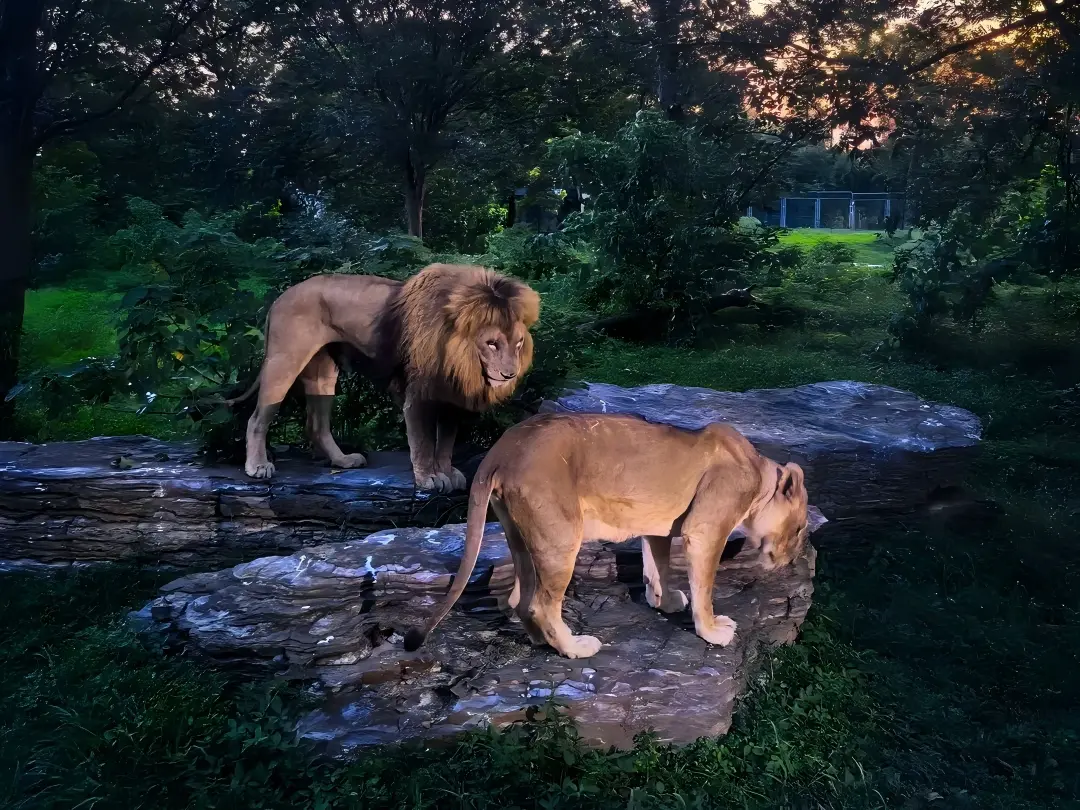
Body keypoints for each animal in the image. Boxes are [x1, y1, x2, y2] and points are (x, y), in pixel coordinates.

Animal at [230, 263, 540, 492]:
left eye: (519, 343)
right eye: (492, 344)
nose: (509, 373)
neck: (461, 356)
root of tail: (280, 297)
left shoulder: (452, 397)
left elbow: (445, 442)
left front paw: (446, 472)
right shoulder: (419, 396)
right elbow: (423, 441)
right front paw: (429, 478)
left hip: (324, 374)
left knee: (316, 425)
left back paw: (343, 460)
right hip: (284, 361)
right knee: (256, 419)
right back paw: (257, 466)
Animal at [404, 413, 810, 659]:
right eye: (800, 528)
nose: (791, 559)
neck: (760, 476)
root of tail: (499, 450)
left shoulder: (657, 528)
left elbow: (658, 567)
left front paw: (664, 601)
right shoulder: (705, 529)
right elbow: (704, 589)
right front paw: (711, 630)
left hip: (520, 535)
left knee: (518, 598)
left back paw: (540, 641)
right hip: (560, 535)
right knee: (540, 604)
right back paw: (574, 647)